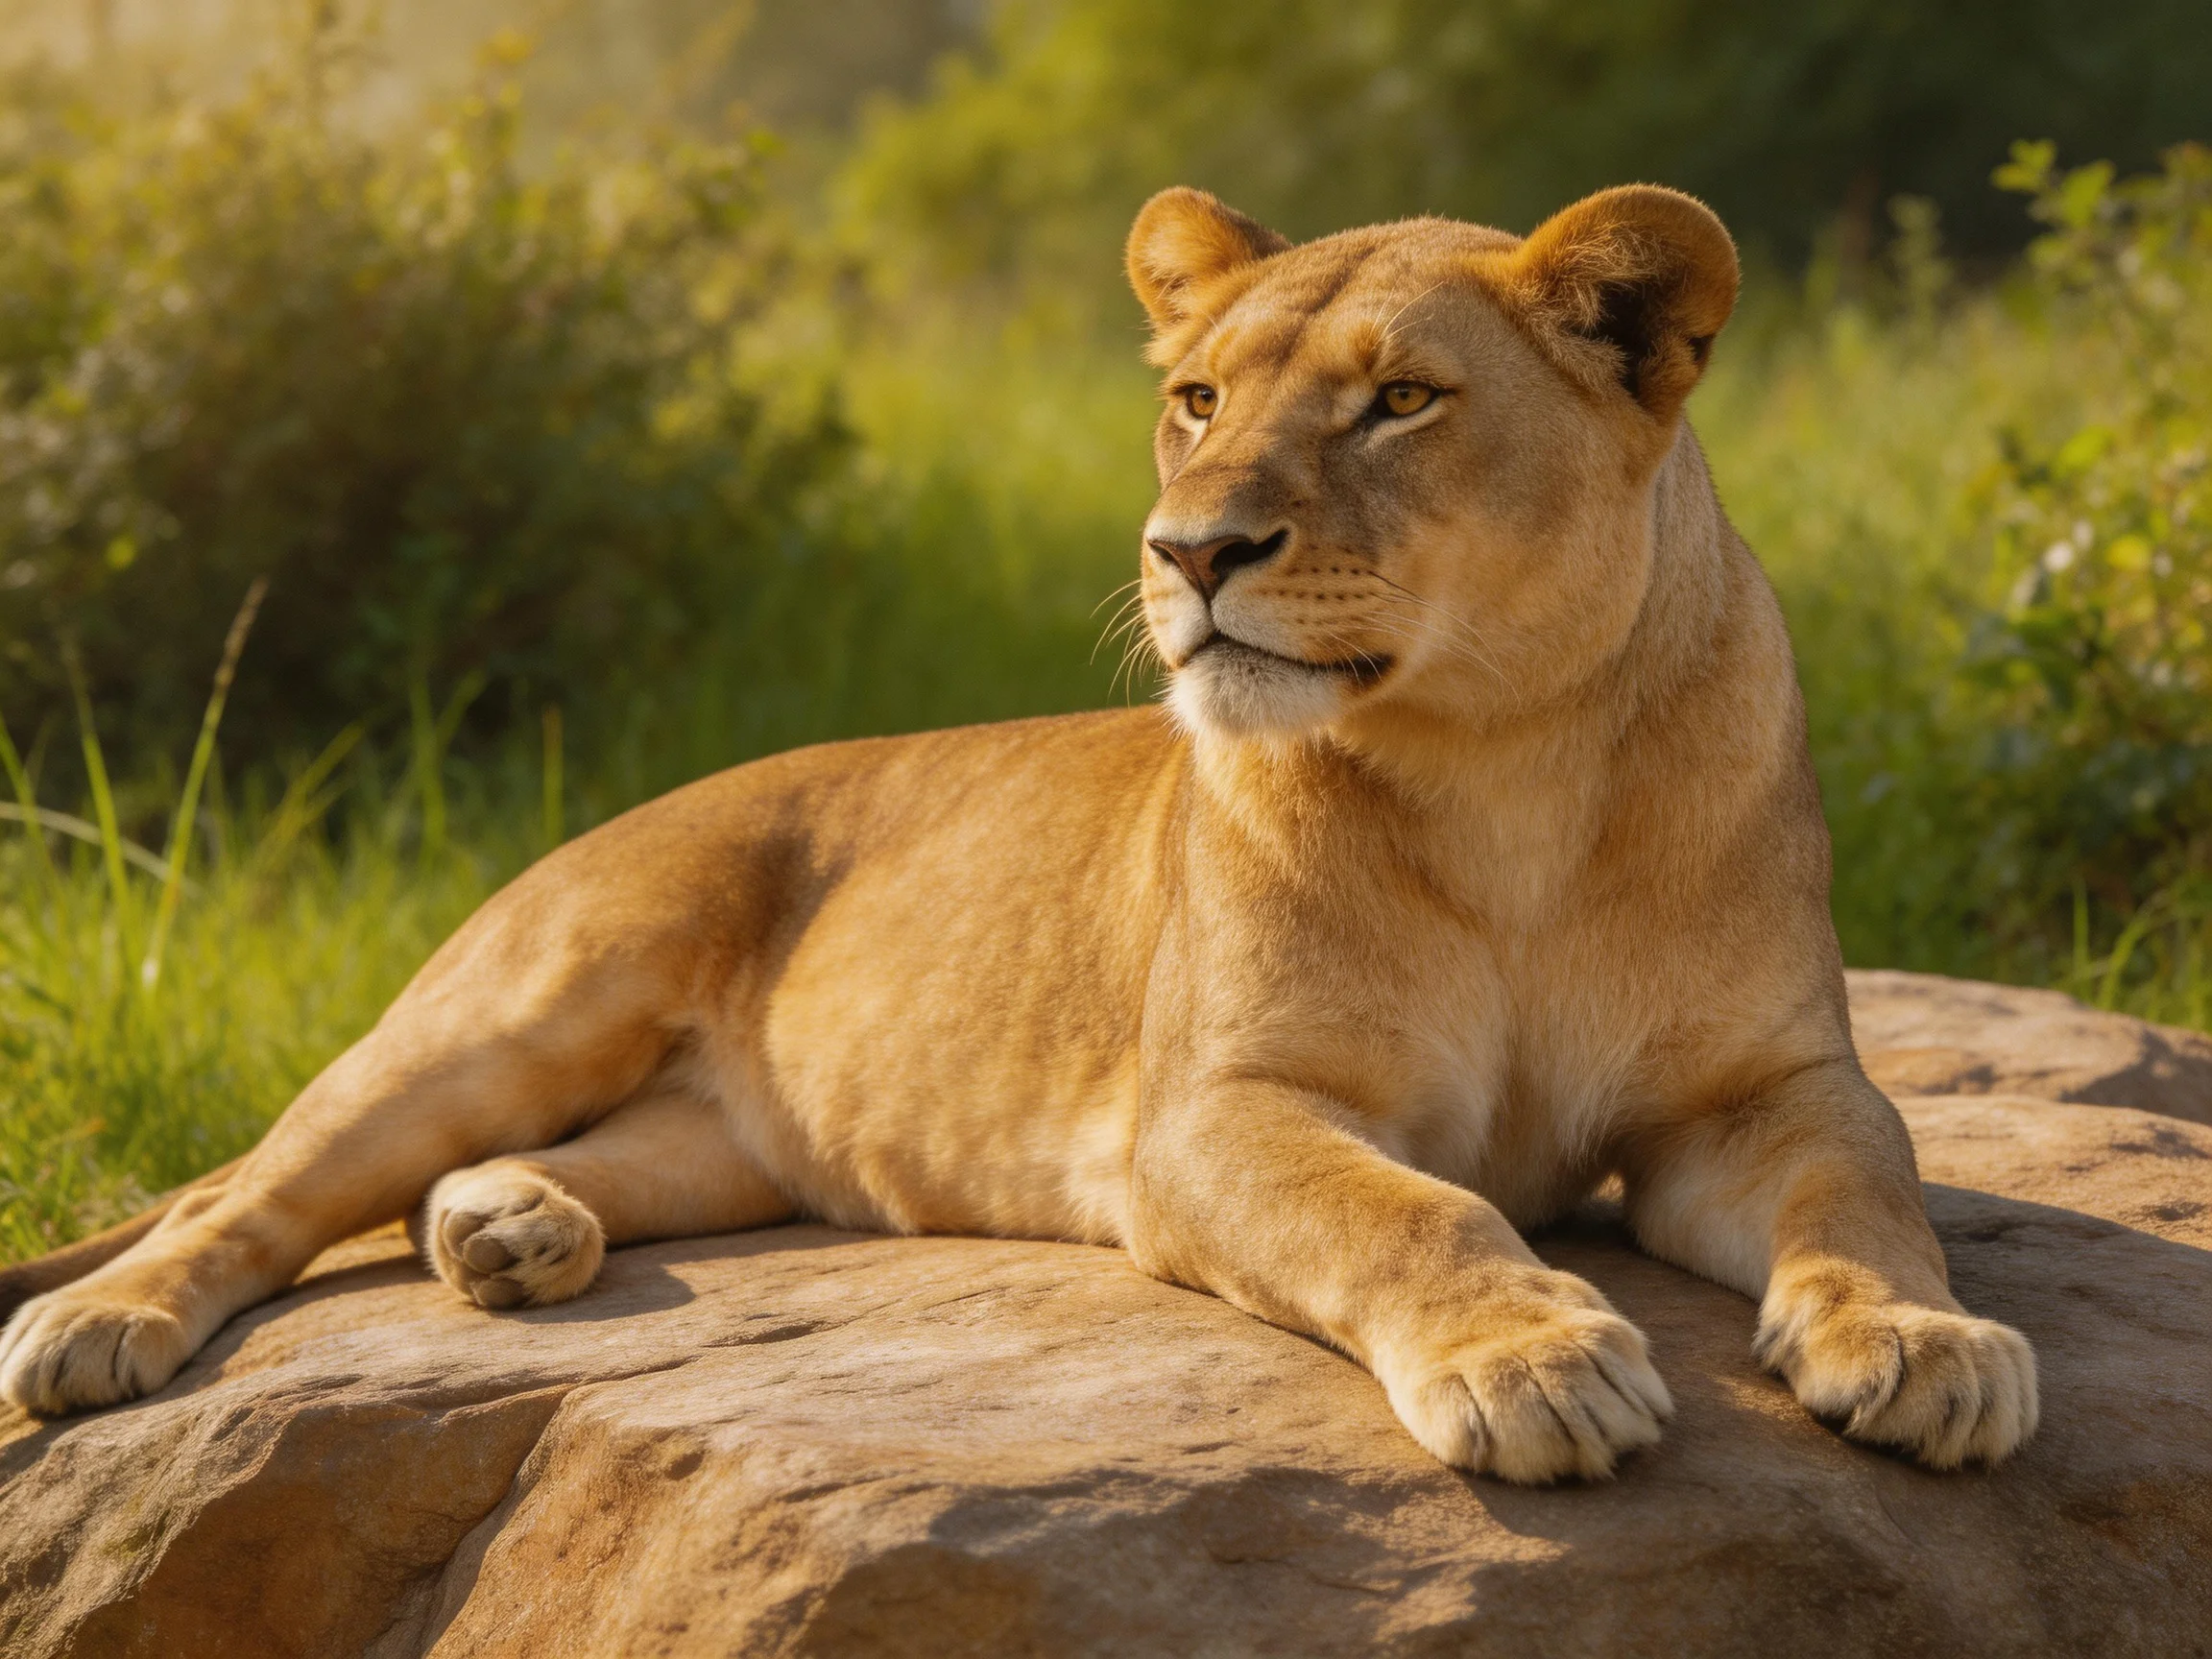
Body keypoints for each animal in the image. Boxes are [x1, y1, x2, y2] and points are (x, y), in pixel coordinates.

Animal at [0, 183, 2037, 1483]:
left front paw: (1924, 1346)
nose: (1189, 550)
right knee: (252, 1194)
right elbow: (1413, 1210)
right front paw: (1532, 1358)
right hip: (518, 999)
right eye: (1194, 399)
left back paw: (508, 1230)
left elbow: (1864, 1191)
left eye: (1399, 399)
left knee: (570, 1162)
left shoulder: (1762, 1088)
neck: (1502, 764)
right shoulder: (1206, 1114)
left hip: (724, 1139)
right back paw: (97, 1329)